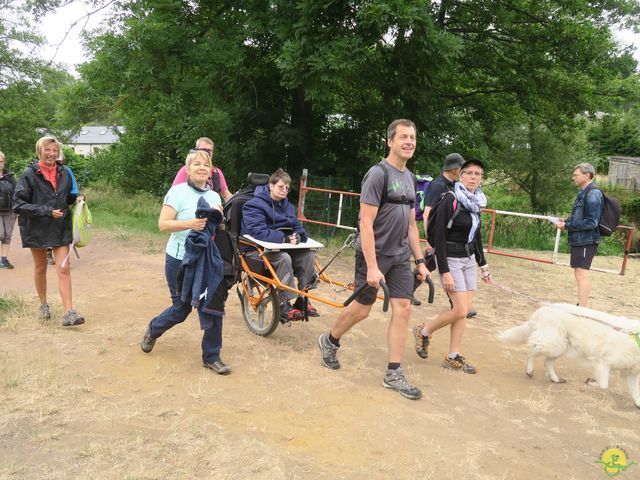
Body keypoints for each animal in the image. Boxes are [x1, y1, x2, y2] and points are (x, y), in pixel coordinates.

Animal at [500, 304, 640, 408]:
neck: (636, 338)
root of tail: (543, 308)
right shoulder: (603, 362)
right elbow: (603, 385)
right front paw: (590, 382)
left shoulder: (631, 373)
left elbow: (635, 393)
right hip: (553, 343)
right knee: (532, 349)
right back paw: (529, 370)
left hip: (561, 346)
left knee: (547, 361)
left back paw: (555, 379)